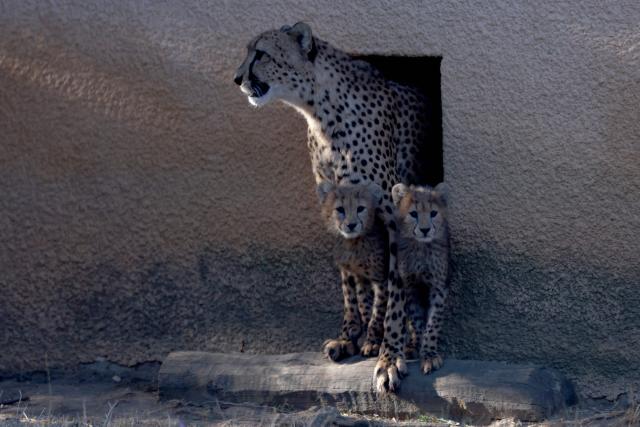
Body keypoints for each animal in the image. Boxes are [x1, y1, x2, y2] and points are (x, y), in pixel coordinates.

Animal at [316, 180, 388, 362]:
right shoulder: (359, 277)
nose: (351, 225)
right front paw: (362, 337)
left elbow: (377, 314)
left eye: (360, 208)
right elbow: (364, 306)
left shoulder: (381, 280)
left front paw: (372, 343)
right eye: (340, 209)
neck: (354, 242)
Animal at [392, 183, 450, 376]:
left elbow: (433, 323)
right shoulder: (410, 287)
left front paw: (429, 354)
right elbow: (417, 322)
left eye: (433, 213)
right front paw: (421, 346)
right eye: (413, 214)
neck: (421, 247)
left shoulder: (439, 287)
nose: (425, 230)